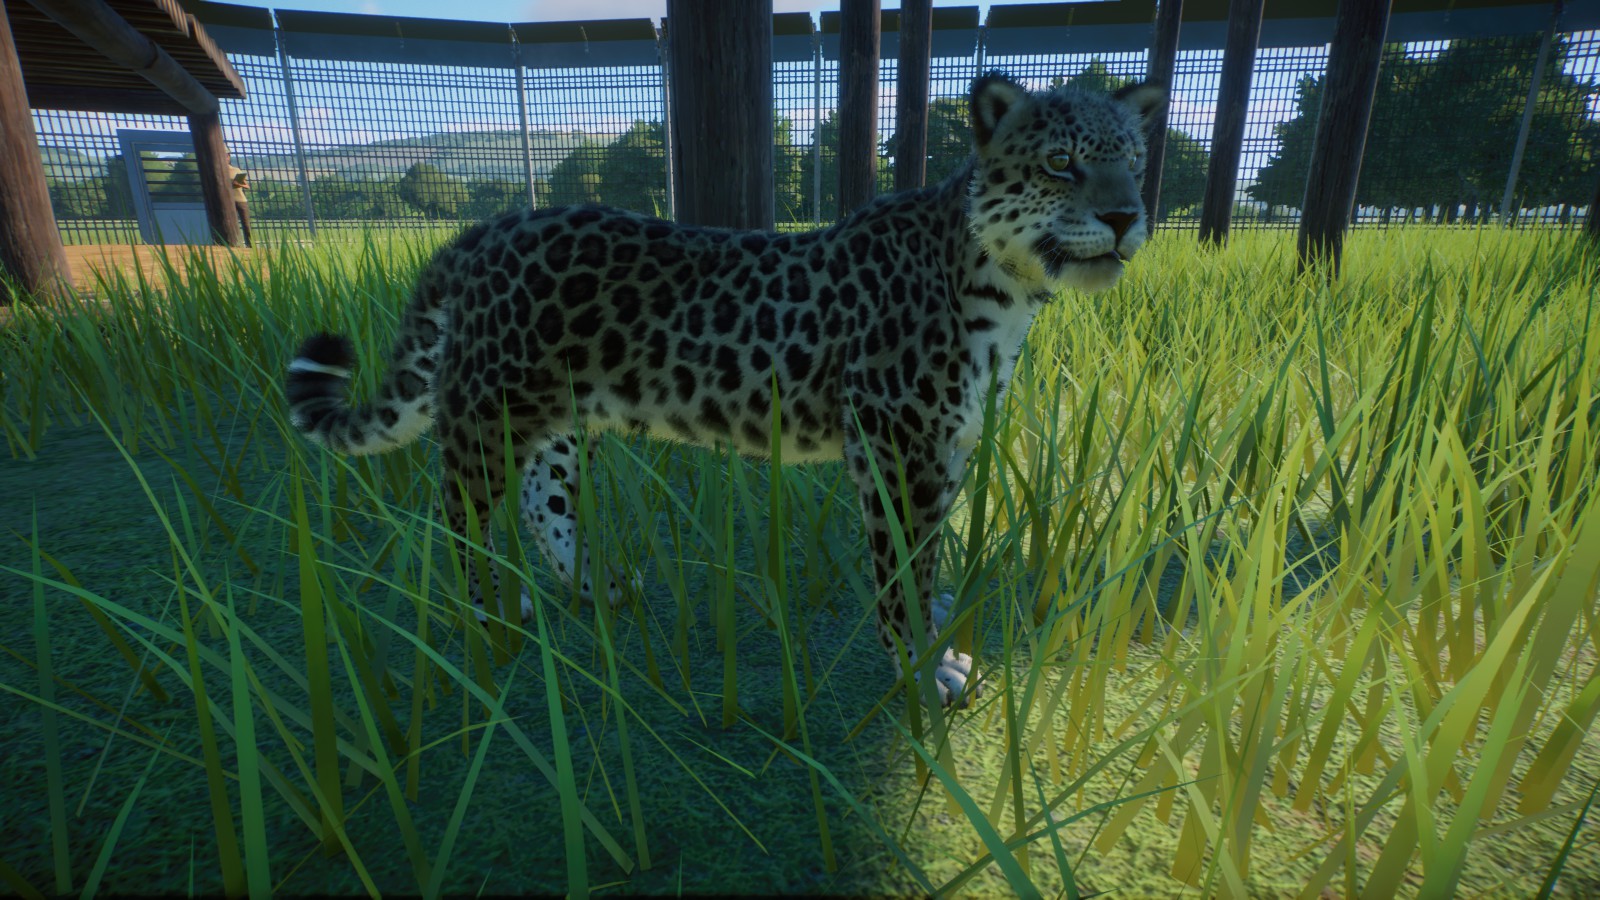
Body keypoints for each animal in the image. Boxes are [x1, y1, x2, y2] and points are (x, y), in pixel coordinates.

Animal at [285, 72, 1165, 709]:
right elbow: (899, 569)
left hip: (559, 419)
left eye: (1132, 159)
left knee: (543, 499)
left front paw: (937, 622)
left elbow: (929, 554)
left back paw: (594, 586)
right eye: (1061, 163)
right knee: (462, 518)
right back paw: (492, 613)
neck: (1005, 290)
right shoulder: (896, 446)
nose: (1128, 217)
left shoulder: (944, 447)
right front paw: (923, 665)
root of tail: (484, 229)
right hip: (485, 416)